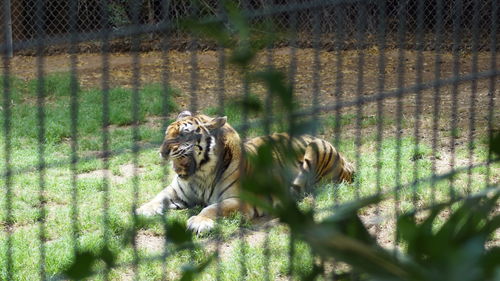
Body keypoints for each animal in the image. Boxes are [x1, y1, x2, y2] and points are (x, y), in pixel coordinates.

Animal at [136, 110, 356, 233]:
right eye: (167, 133)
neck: (199, 175)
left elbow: (211, 208)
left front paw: (199, 222)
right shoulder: (176, 192)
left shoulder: (241, 200)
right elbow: (157, 198)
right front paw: (141, 211)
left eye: (183, 134)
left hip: (316, 150)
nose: (163, 151)